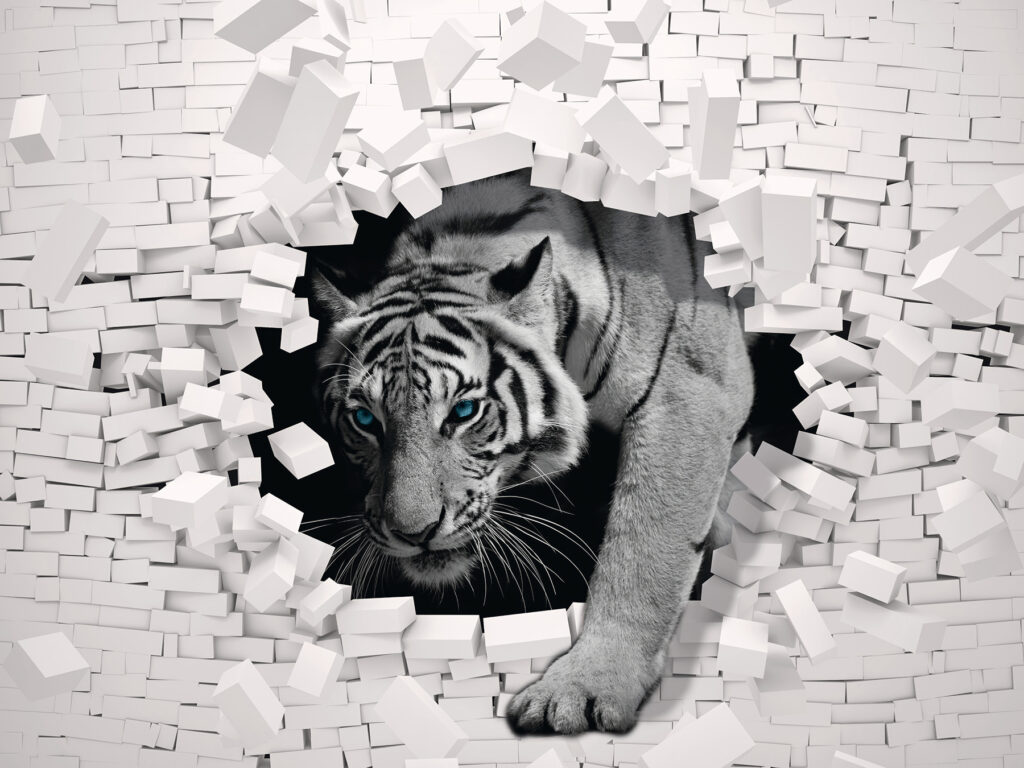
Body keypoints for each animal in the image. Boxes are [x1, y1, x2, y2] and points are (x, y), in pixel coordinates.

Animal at [310, 169, 755, 734]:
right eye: (365, 420)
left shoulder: (688, 390)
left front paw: (583, 688)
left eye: (463, 411)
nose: (412, 534)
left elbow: (643, 555)